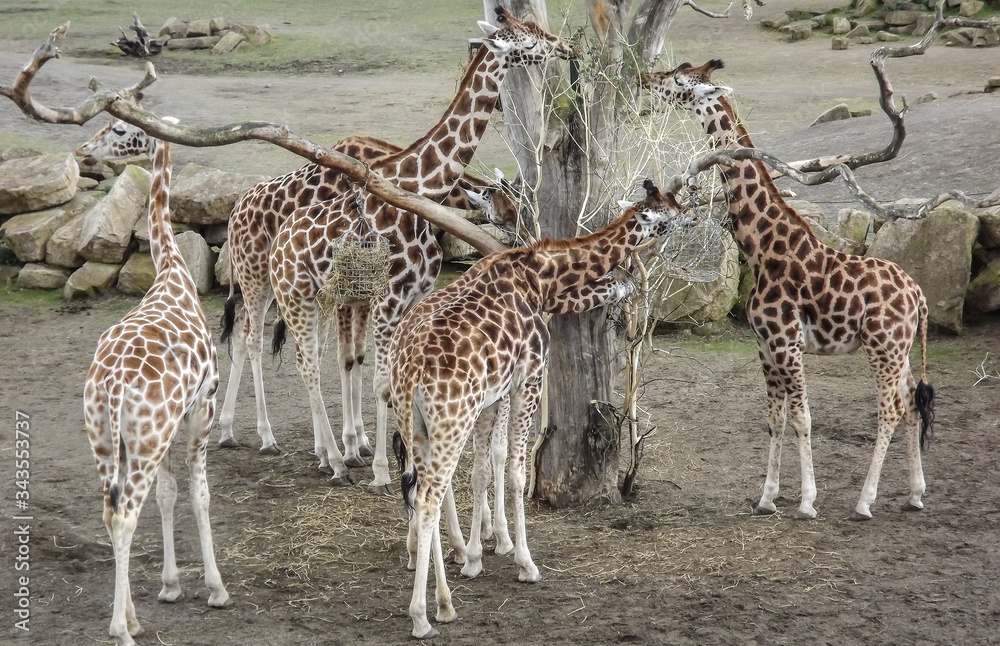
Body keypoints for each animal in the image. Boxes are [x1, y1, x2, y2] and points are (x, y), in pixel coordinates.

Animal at [82, 124, 229, 646]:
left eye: (120, 129)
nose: (84, 150)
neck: (171, 270)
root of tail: (110, 384)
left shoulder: (166, 427)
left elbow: (168, 493)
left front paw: (169, 586)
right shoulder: (202, 406)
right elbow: (200, 494)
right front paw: (215, 589)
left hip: (108, 441)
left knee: (111, 512)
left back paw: (130, 619)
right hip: (144, 441)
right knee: (125, 513)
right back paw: (119, 630)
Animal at [268, 8, 576, 489]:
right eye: (530, 40)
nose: (567, 46)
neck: (421, 189)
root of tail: (278, 246)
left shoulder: (411, 296)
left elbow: (395, 377)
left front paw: (402, 459)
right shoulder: (387, 297)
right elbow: (382, 384)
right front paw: (381, 471)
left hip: (321, 298)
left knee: (313, 358)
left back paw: (328, 453)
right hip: (295, 295)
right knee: (307, 365)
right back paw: (336, 461)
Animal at [389, 180, 696, 639]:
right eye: (666, 214)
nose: (694, 214)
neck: (539, 278)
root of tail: (407, 373)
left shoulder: (495, 392)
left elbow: (485, 468)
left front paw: (479, 555)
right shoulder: (529, 377)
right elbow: (516, 471)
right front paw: (523, 561)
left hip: (421, 428)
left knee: (425, 489)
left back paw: (444, 600)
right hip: (450, 421)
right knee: (428, 498)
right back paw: (422, 617)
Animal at [640, 60, 936, 520]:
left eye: (677, 79)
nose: (644, 78)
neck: (763, 249)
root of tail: (918, 295)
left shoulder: (786, 342)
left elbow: (803, 418)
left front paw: (807, 501)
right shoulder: (763, 344)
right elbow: (775, 419)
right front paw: (767, 498)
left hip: (882, 346)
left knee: (890, 408)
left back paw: (864, 502)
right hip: (901, 349)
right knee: (910, 403)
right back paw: (916, 493)